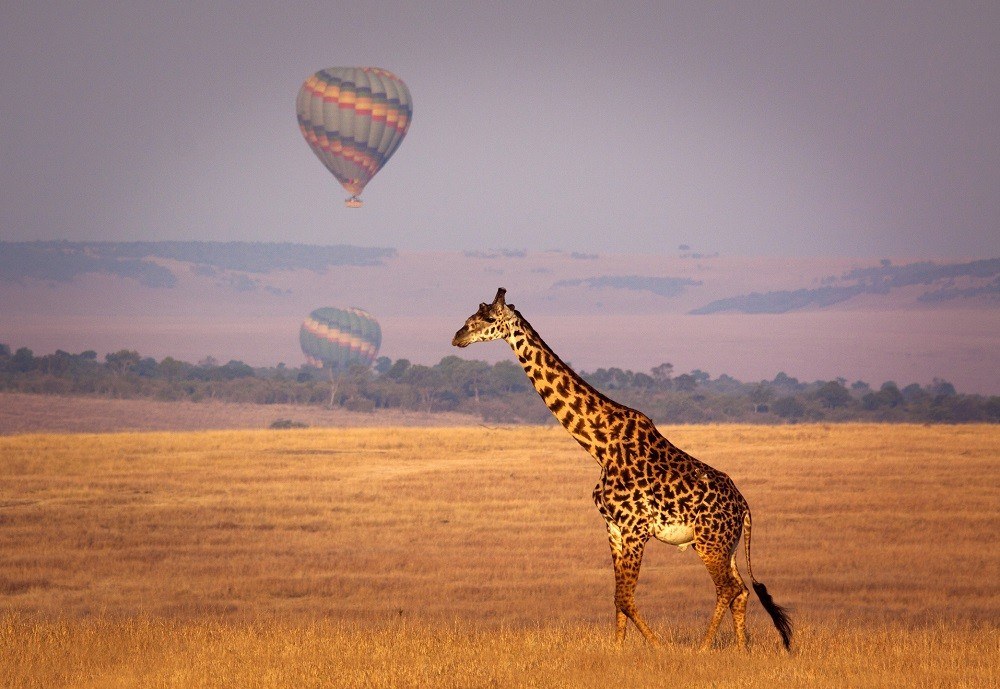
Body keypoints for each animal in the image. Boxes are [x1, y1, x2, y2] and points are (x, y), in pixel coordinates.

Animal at [452, 286, 788, 652]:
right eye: (471, 314)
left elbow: (625, 597)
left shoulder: (635, 527)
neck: (601, 446)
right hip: (726, 545)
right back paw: (741, 649)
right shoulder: (612, 526)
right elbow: (617, 598)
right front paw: (618, 649)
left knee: (728, 588)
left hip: (708, 542)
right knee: (741, 591)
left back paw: (702, 649)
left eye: (487, 318)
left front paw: (659, 647)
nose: (458, 336)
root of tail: (744, 507)